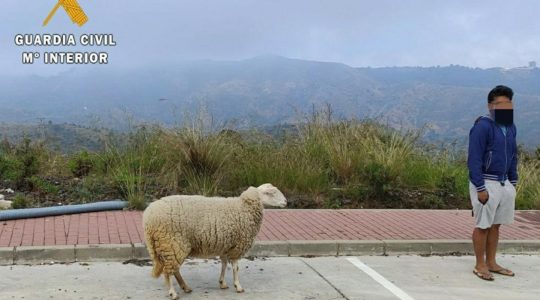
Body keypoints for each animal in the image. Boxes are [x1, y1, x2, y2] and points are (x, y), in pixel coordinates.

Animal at [143, 183, 286, 298]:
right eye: (271, 193)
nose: (285, 202)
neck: (243, 207)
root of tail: (148, 218)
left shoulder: (226, 245)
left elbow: (224, 264)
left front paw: (222, 283)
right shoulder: (237, 246)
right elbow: (235, 268)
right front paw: (238, 286)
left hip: (171, 246)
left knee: (174, 269)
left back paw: (186, 287)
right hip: (172, 243)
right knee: (168, 271)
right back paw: (173, 293)